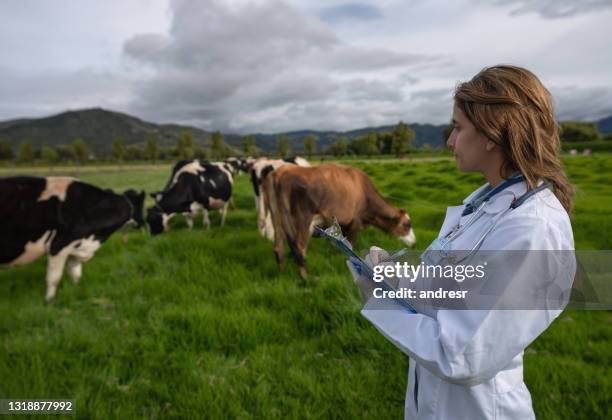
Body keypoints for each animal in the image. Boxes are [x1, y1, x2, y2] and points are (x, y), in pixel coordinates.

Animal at [0, 176, 145, 300]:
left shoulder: (75, 247)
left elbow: (76, 275)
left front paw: (75, 292)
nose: (142, 223)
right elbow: (54, 278)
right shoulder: (58, 246)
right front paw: (49, 301)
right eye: (141, 205)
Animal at [262, 164, 416, 278]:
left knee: (279, 247)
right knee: (299, 248)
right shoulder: (355, 221)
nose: (414, 243)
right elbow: (351, 245)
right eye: (407, 225)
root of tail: (280, 172)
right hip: (303, 219)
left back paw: (281, 273)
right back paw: (305, 279)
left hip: (277, 218)